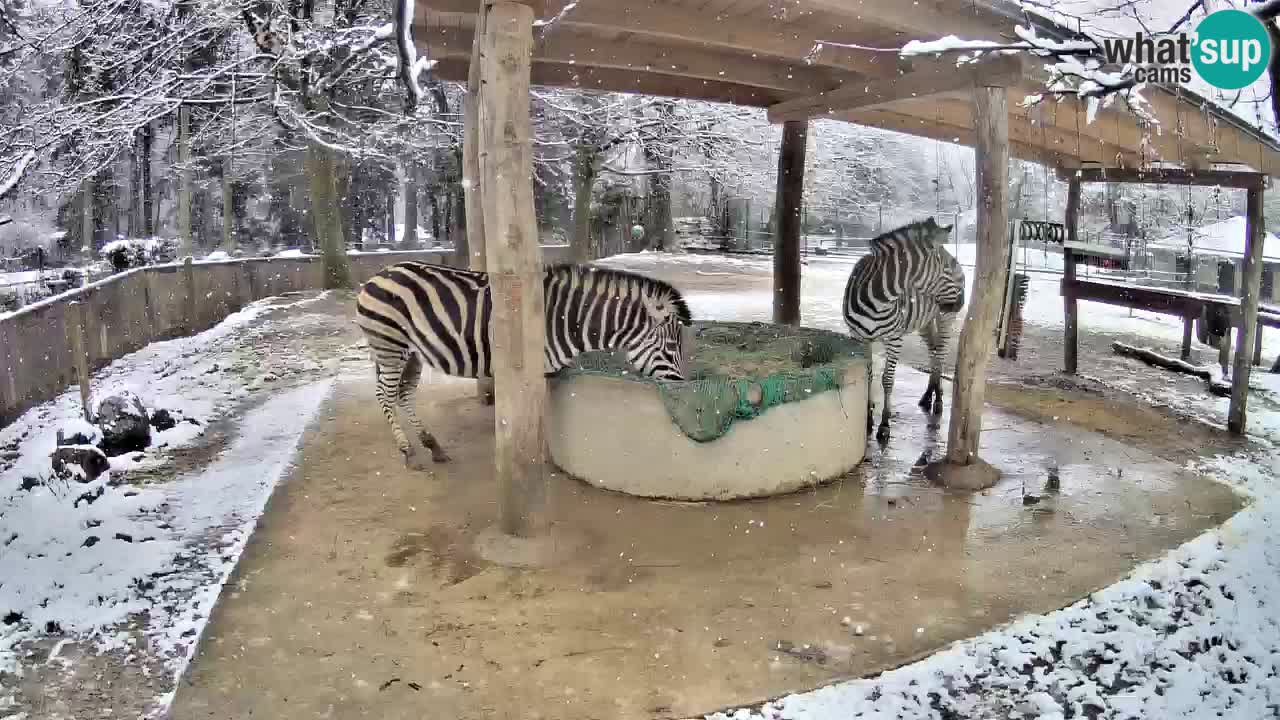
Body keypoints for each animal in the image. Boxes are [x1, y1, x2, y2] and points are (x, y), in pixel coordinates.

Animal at [353, 260, 691, 468]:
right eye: (671, 348)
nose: (684, 388)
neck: (567, 320)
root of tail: (379, 273)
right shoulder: (534, 371)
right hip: (390, 346)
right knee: (385, 394)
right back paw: (406, 450)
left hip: (412, 353)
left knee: (404, 394)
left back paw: (432, 445)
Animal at [844, 217, 962, 443]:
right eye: (946, 269)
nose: (960, 303)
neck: (877, 300)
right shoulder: (860, 338)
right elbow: (868, 376)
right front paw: (868, 419)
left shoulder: (894, 339)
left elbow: (887, 380)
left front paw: (884, 425)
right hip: (925, 322)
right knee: (934, 351)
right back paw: (928, 396)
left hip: (945, 317)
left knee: (941, 354)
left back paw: (939, 400)